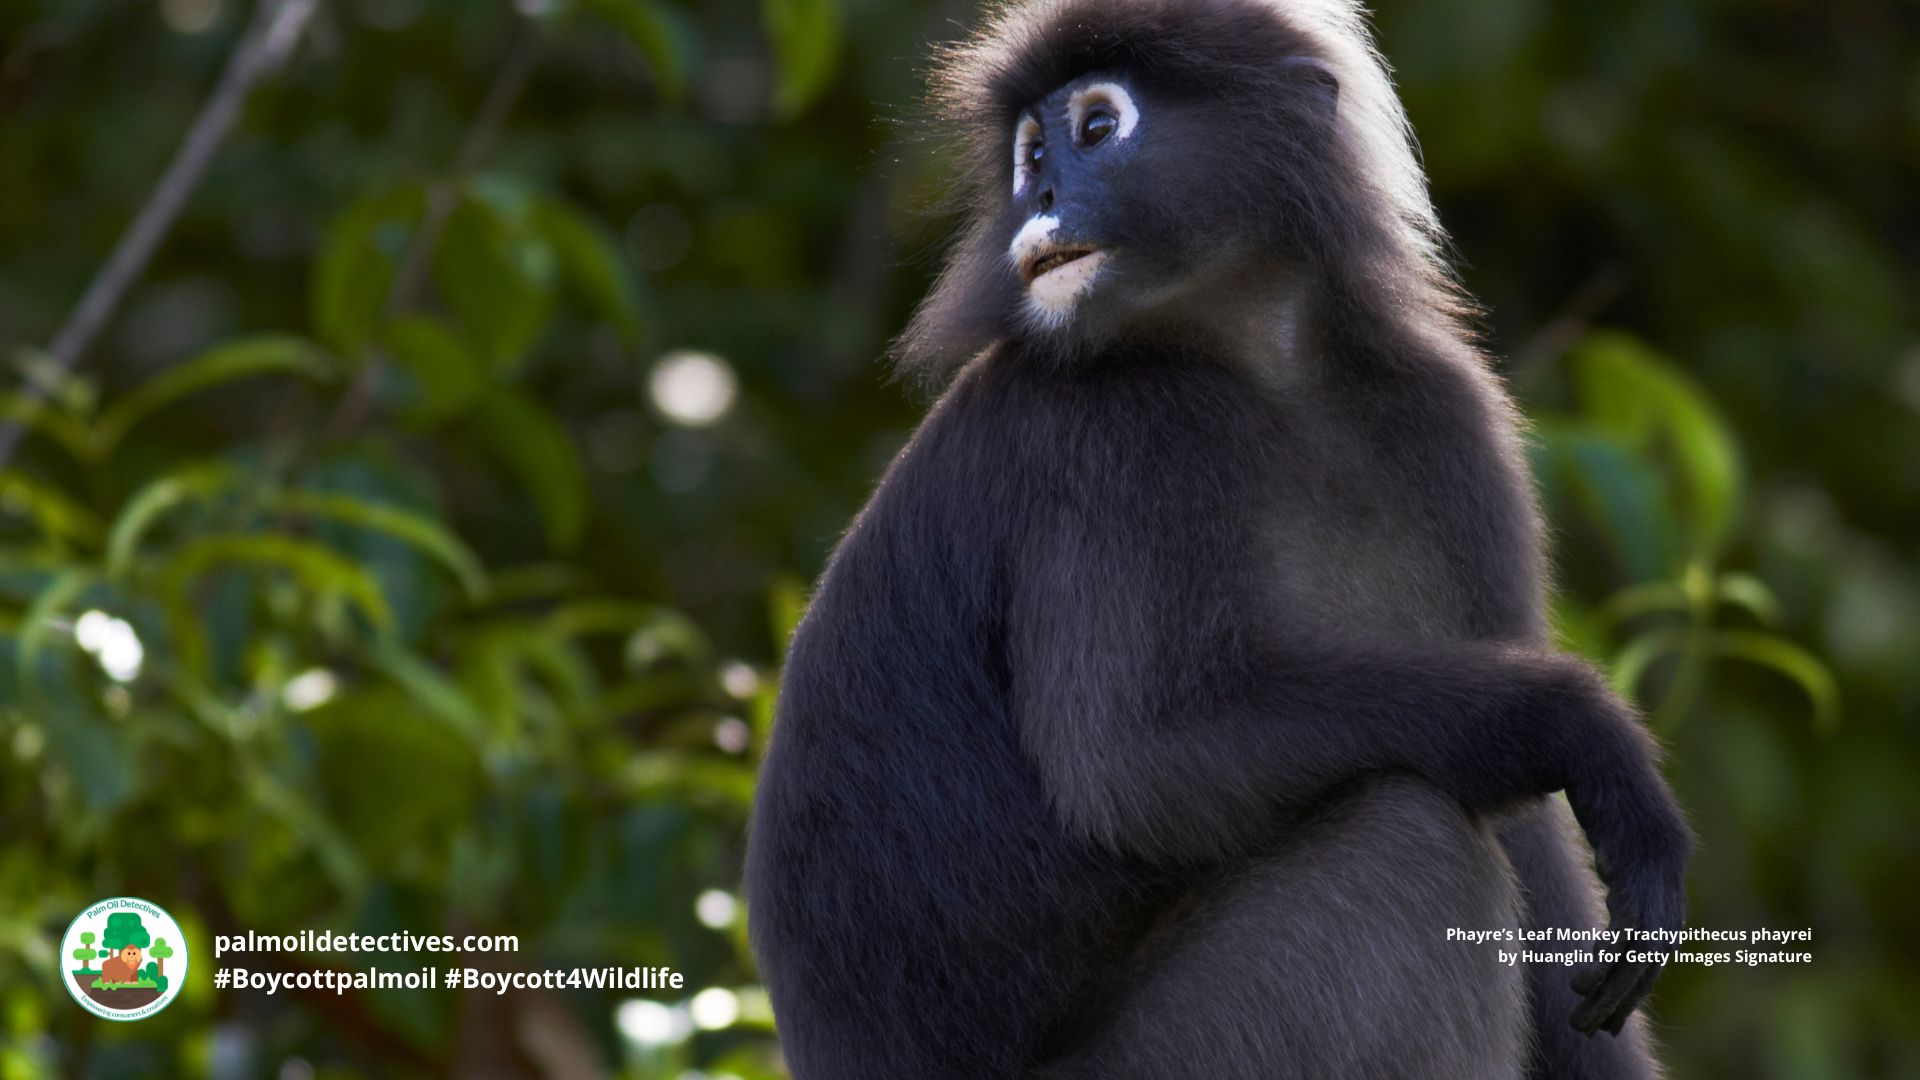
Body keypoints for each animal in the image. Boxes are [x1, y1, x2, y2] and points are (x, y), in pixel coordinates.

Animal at [744, 1, 1692, 1078]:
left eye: (1095, 129)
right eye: (1031, 153)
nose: (1042, 194)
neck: (1260, 364)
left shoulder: (1450, 419)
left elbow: (1531, 841)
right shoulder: (1114, 439)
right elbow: (1136, 766)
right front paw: (1583, 731)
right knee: (1407, 831)